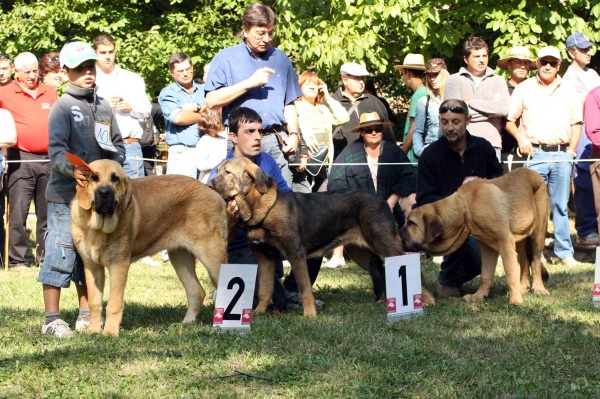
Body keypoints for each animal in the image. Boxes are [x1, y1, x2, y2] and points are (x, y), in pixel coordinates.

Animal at [71, 160, 230, 338]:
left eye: (115, 179)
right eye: (94, 177)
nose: (104, 192)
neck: (98, 229)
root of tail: (213, 192)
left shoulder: (118, 265)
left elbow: (114, 303)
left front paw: (110, 332)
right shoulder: (92, 267)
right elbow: (94, 301)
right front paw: (93, 330)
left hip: (211, 256)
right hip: (180, 258)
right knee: (196, 291)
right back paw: (185, 324)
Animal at [209, 158, 434, 318]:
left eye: (227, 172)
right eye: (218, 171)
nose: (209, 185)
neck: (259, 208)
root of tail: (380, 198)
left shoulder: (295, 254)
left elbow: (304, 289)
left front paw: (310, 316)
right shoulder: (264, 260)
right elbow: (265, 290)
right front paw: (258, 313)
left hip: (385, 245)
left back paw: (428, 302)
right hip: (365, 252)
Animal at [400, 169, 552, 306]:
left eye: (411, 223)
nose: (398, 235)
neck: (465, 208)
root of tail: (535, 173)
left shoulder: (505, 242)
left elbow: (510, 274)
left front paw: (515, 300)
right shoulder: (488, 248)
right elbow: (485, 275)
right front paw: (478, 297)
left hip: (537, 235)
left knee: (536, 261)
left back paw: (539, 288)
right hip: (521, 238)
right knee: (525, 261)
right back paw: (524, 287)